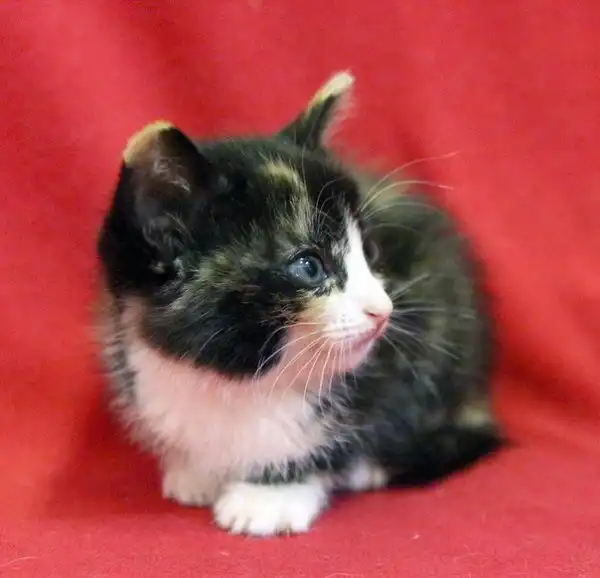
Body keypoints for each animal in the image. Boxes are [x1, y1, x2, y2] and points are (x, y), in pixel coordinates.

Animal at [96, 71, 501, 536]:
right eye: (309, 266)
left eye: (371, 251)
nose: (383, 310)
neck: (241, 379)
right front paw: (197, 471)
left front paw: (272, 495)